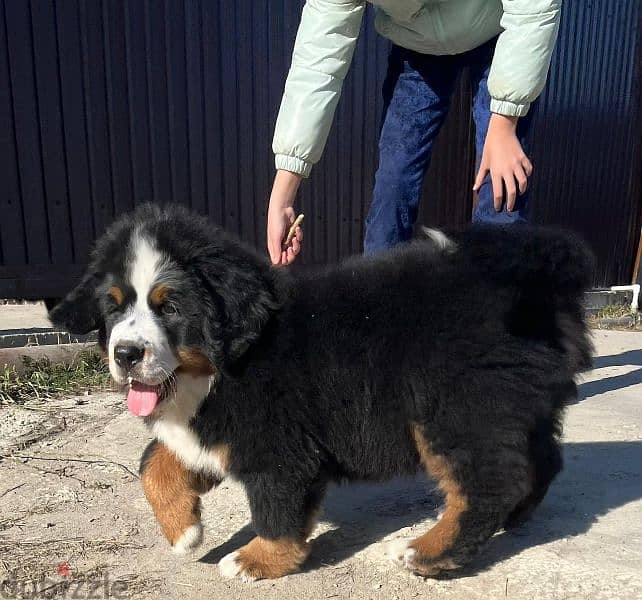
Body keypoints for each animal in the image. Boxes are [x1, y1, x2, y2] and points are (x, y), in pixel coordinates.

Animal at [47, 205, 592, 580]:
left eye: (171, 307)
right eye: (114, 307)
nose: (125, 354)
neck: (225, 363)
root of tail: (536, 276)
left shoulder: (276, 447)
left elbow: (277, 508)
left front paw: (256, 559)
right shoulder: (213, 433)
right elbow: (154, 460)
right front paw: (183, 531)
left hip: (459, 408)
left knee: (487, 485)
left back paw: (428, 552)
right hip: (515, 408)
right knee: (538, 463)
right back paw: (513, 520)